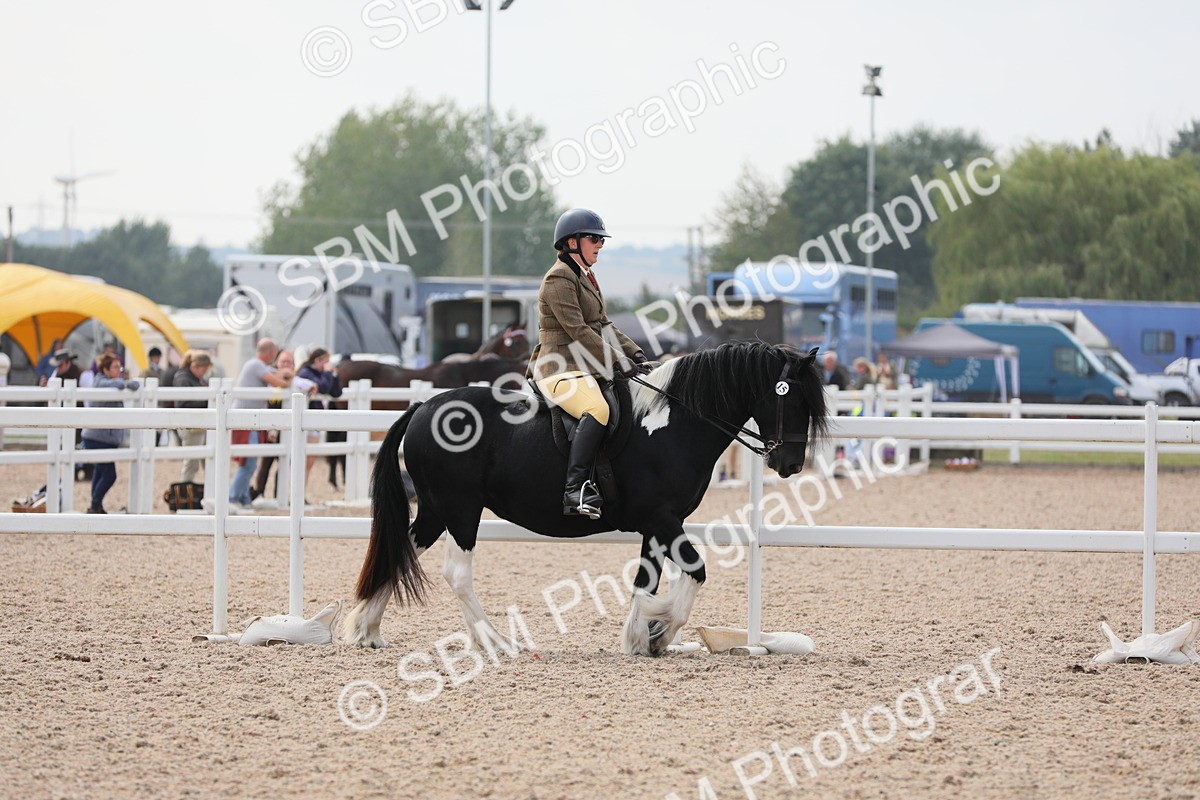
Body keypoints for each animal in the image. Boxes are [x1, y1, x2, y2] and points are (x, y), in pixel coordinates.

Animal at [341, 342, 830, 656]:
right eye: (792, 399)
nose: (790, 464)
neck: (674, 422)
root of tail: (423, 407)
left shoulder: (656, 526)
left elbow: (646, 581)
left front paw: (640, 637)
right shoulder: (664, 519)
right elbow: (694, 572)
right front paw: (659, 629)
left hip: (436, 510)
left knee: (400, 550)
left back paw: (367, 630)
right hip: (460, 509)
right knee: (456, 574)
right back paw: (497, 642)